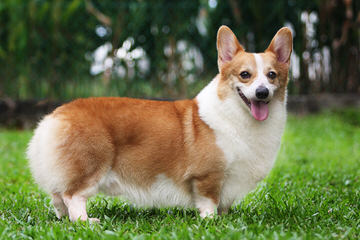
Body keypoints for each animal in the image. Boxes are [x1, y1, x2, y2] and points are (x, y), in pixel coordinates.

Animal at [27, 25, 292, 222]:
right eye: (245, 75)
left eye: (272, 75)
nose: (261, 93)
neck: (238, 116)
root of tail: (55, 116)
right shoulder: (208, 177)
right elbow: (209, 202)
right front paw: (211, 222)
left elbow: (223, 205)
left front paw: (224, 219)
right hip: (92, 164)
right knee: (73, 195)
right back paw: (86, 222)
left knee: (58, 196)